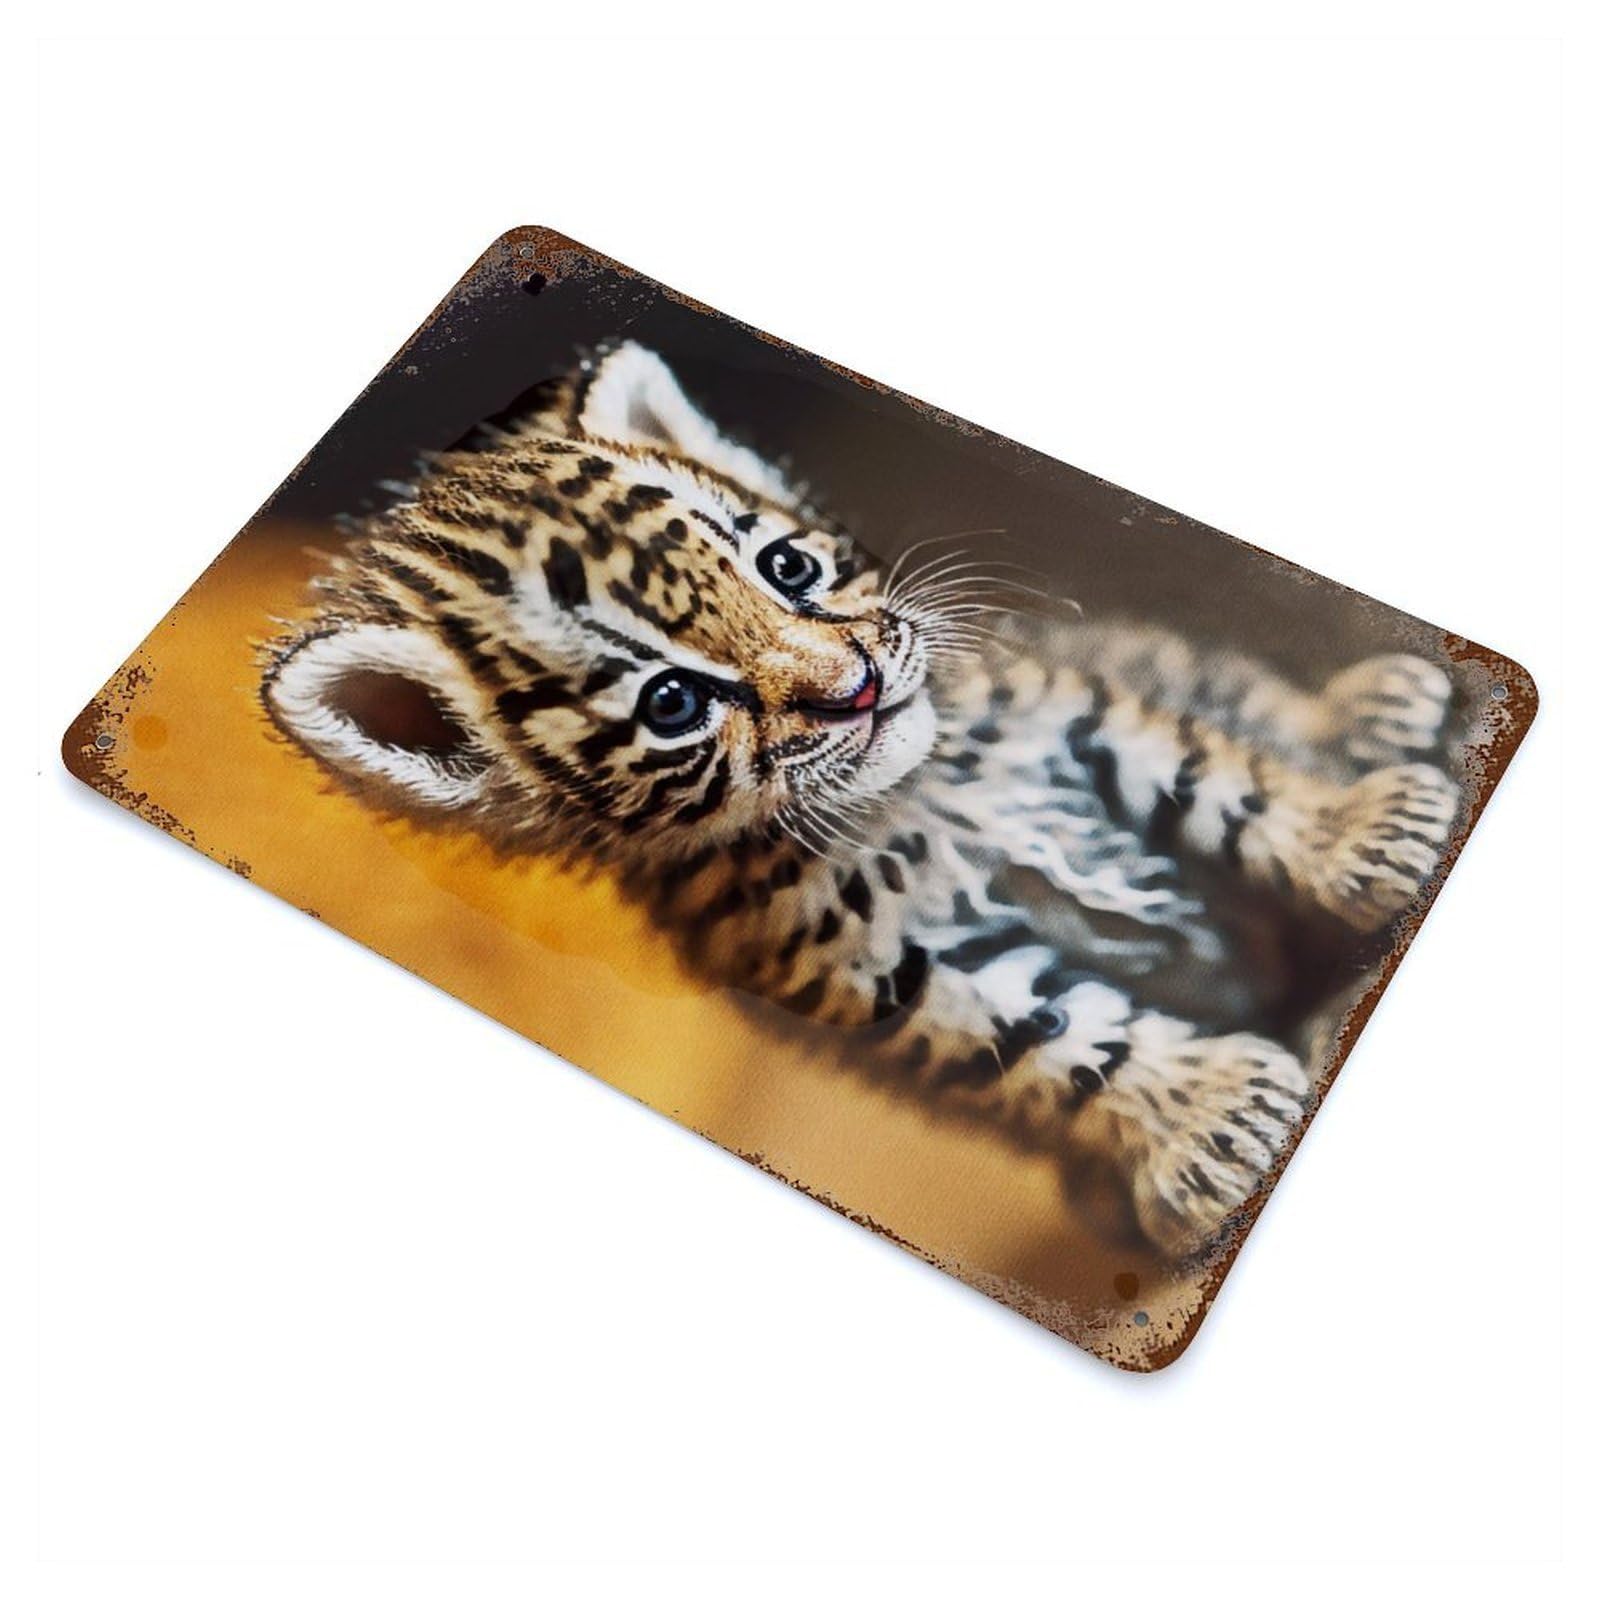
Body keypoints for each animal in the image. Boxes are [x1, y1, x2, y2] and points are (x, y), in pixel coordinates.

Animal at [262, 341, 1458, 1258]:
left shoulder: (1057, 707)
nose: (862, 688)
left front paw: (1356, 836)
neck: (912, 799)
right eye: (670, 702)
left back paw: (1367, 714)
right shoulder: (849, 960)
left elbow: (1207, 773)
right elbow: (1041, 1033)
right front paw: (1206, 1118)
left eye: (786, 569)